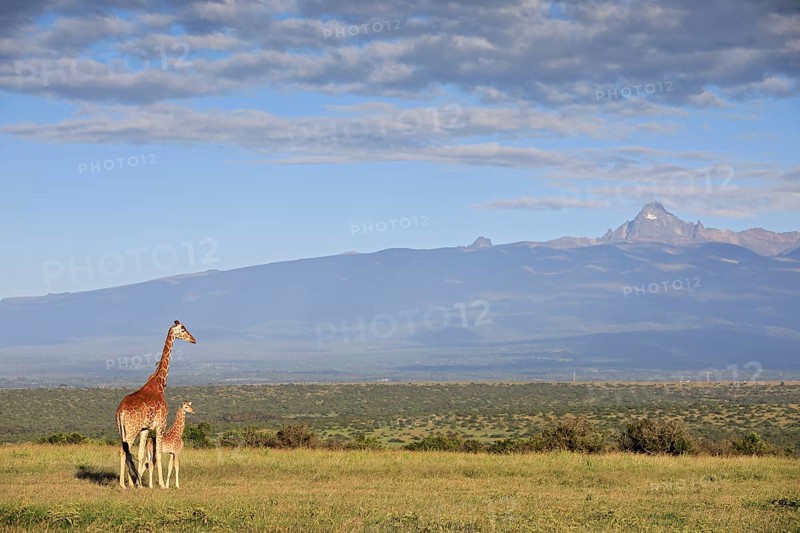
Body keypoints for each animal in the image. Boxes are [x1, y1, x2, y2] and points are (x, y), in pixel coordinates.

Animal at [115, 320, 196, 489]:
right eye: (183, 329)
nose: (193, 339)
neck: (159, 383)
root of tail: (121, 412)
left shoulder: (145, 428)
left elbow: (141, 454)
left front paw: (139, 483)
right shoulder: (161, 425)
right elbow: (158, 454)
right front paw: (162, 485)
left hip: (122, 430)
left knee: (126, 451)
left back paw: (131, 483)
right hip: (131, 430)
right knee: (124, 451)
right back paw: (124, 485)